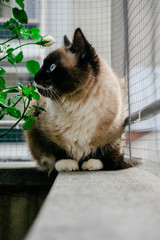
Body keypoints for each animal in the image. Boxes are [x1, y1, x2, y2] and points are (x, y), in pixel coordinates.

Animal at [25, 28, 129, 172]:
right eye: (43, 65)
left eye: (52, 67)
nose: (35, 77)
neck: (74, 103)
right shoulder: (44, 132)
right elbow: (58, 150)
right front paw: (67, 164)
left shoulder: (113, 137)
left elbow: (102, 152)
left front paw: (92, 163)